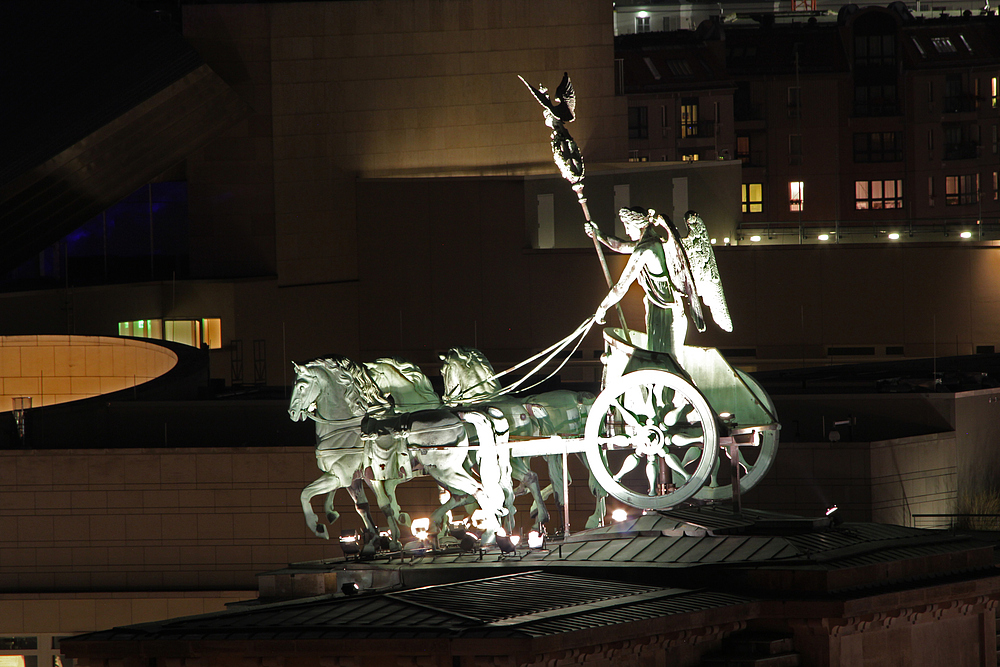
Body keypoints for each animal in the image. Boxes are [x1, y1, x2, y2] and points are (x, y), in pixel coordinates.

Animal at [288, 358, 508, 544]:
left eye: (301, 386)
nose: (292, 413)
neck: (344, 428)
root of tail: (457, 416)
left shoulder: (341, 476)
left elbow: (305, 494)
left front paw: (318, 527)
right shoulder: (355, 478)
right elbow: (365, 506)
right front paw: (377, 538)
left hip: (443, 470)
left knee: (476, 492)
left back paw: (487, 535)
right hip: (447, 470)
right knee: (464, 495)